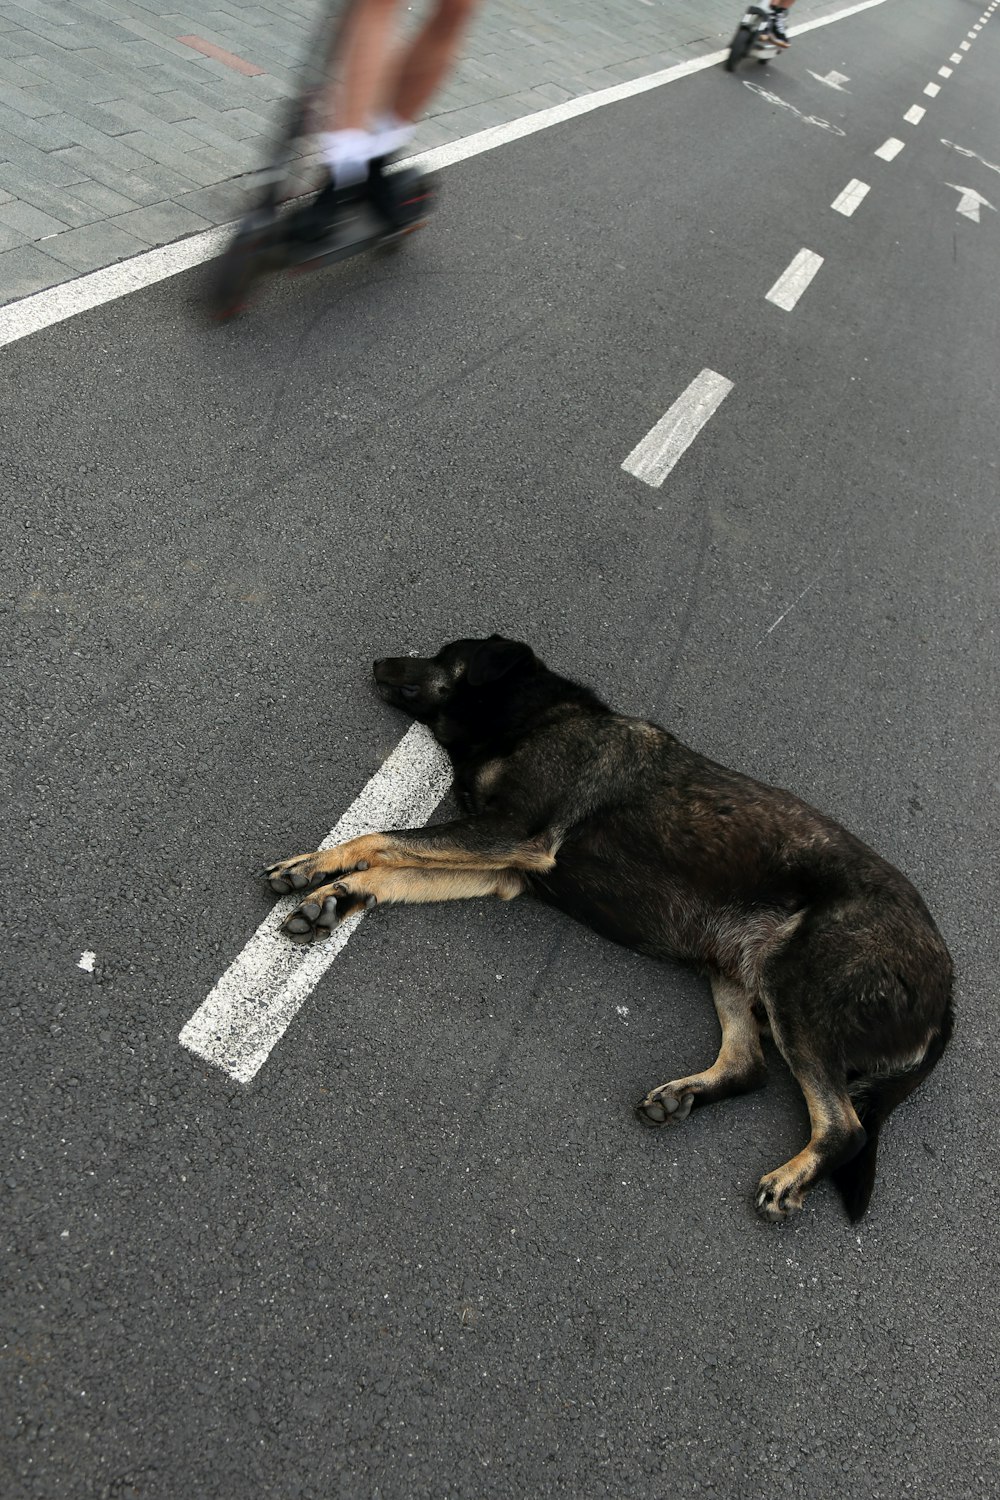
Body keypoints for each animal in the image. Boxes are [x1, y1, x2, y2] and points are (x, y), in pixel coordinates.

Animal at [265, 633, 953, 1218]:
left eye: (444, 656)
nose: (378, 660)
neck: (536, 718)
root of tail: (948, 989)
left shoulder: (511, 833)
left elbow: (381, 838)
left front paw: (320, 869)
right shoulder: (501, 866)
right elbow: (389, 866)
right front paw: (331, 890)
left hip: (796, 990)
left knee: (845, 1126)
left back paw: (791, 1178)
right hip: (735, 964)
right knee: (751, 1066)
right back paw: (686, 1095)